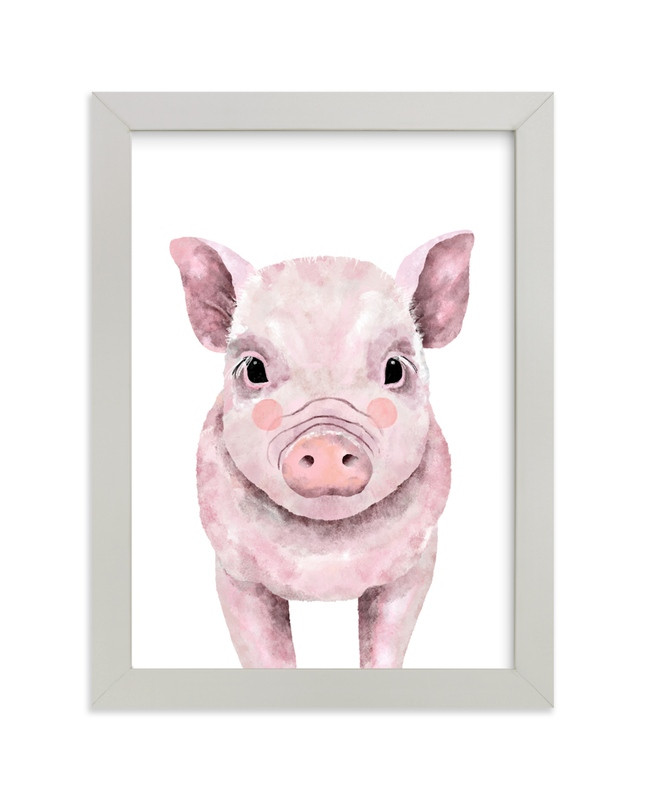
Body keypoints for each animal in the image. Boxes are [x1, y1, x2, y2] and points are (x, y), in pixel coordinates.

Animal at [170, 231, 474, 668]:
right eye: (254, 369)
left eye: (395, 368)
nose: (327, 441)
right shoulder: (234, 570)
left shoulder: (415, 563)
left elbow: (386, 640)